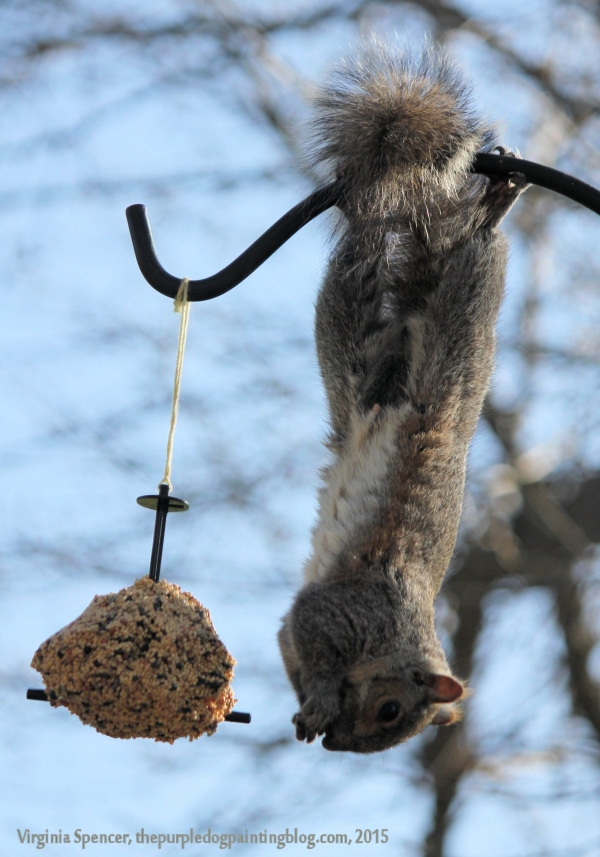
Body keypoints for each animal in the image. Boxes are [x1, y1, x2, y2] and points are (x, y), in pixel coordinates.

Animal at [277, 42, 528, 753]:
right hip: (448, 320)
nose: (341, 746)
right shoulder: (346, 609)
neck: (399, 634)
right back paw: (490, 212)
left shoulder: (302, 630)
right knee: (425, 257)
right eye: (391, 710)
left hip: (363, 366)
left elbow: (286, 642)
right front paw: (322, 699)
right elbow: (307, 625)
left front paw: (308, 707)